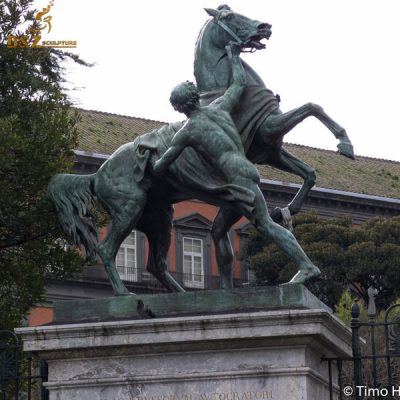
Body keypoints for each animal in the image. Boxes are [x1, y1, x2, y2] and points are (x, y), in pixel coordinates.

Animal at [195, 4, 354, 290]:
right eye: (229, 17)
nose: (264, 27)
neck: (224, 87)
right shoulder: (269, 126)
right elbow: (312, 106)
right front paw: (344, 141)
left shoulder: (271, 149)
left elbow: (309, 172)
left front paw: (288, 210)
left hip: (230, 210)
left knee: (220, 240)